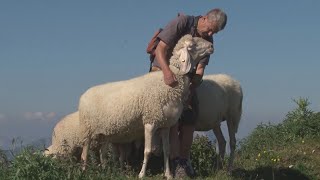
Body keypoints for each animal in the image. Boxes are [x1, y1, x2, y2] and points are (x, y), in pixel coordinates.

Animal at [77, 34, 212, 179]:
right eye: (192, 45)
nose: (211, 46)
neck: (170, 82)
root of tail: (83, 95)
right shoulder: (150, 121)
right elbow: (147, 151)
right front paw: (141, 174)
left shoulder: (165, 125)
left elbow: (167, 150)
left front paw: (168, 174)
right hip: (87, 129)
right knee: (84, 151)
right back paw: (84, 171)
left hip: (104, 131)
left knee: (102, 152)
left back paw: (105, 169)